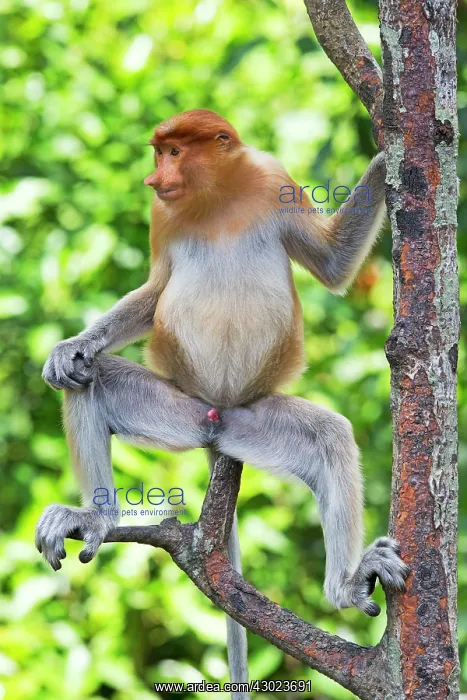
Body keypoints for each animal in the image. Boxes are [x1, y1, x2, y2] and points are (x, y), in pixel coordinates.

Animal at [37, 109, 408, 697]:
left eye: (173, 152)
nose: (154, 178)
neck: (216, 197)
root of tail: (218, 420)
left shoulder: (271, 180)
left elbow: (330, 262)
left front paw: (388, 151)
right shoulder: (161, 216)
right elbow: (155, 290)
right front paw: (72, 347)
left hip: (252, 422)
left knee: (329, 439)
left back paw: (346, 587)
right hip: (180, 411)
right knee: (87, 384)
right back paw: (97, 514)